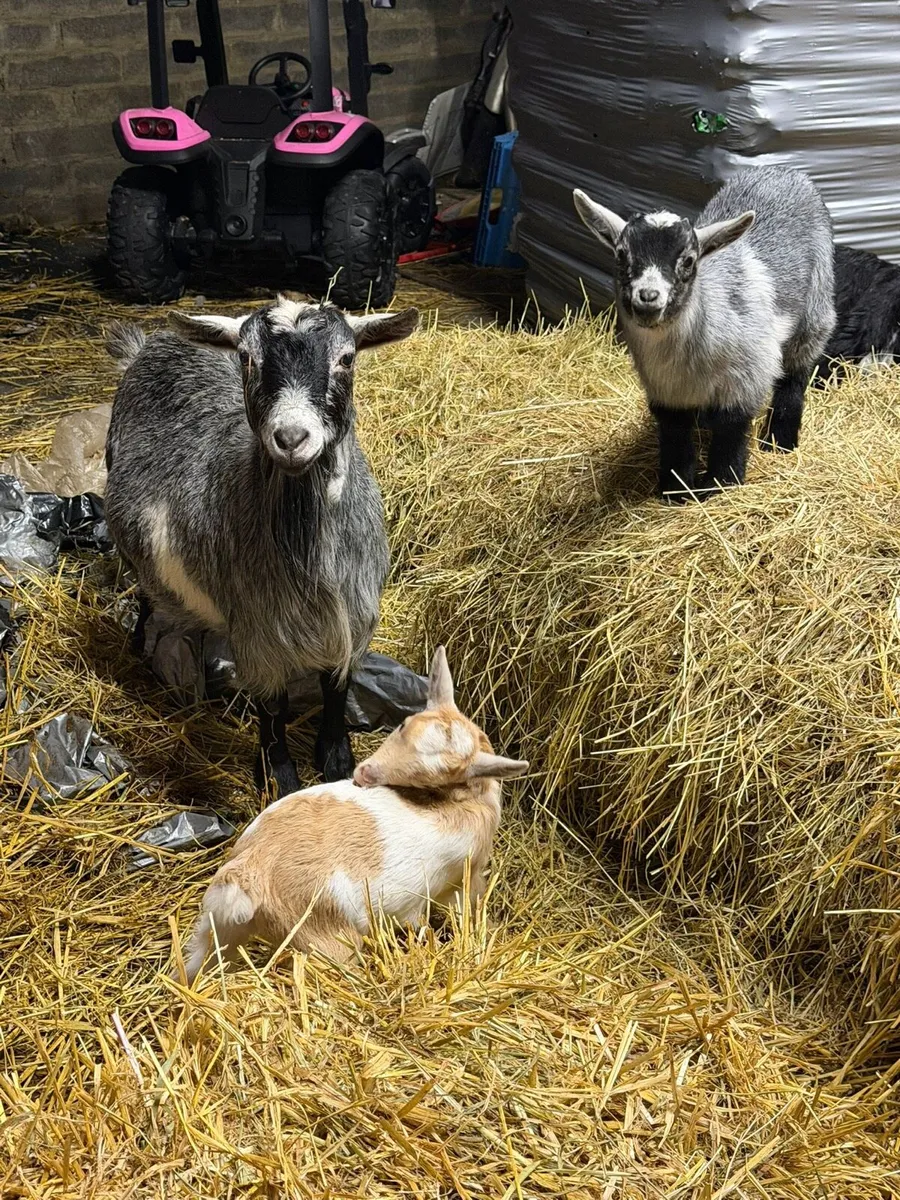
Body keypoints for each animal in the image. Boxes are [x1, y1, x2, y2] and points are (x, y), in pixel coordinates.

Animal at [104, 296, 418, 795]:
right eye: (247, 358)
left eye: (347, 358)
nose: (291, 438)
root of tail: (148, 345)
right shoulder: (260, 630)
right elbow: (273, 708)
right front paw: (278, 776)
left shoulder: (353, 619)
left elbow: (337, 691)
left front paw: (336, 761)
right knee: (145, 591)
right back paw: (138, 643)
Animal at [175, 646, 528, 982]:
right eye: (403, 725)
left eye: (439, 771)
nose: (365, 773)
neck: (463, 798)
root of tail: (249, 874)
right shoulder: (463, 882)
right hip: (330, 943)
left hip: (217, 926)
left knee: (198, 963)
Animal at [573, 167, 835, 499]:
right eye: (621, 254)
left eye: (688, 260)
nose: (648, 298)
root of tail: (782, 171)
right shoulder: (665, 391)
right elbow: (675, 434)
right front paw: (675, 489)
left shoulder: (747, 377)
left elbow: (731, 430)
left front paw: (721, 483)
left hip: (816, 308)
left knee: (796, 374)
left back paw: (780, 441)